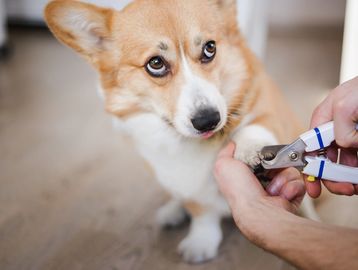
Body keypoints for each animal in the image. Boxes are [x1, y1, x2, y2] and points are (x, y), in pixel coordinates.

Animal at [45, 0, 318, 264]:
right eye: (155, 63)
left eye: (210, 48)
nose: (208, 120)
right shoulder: (180, 178)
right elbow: (201, 212)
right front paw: (201, 241)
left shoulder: (269, 110)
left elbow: (255, 126)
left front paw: (250, 148)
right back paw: (173, 211)